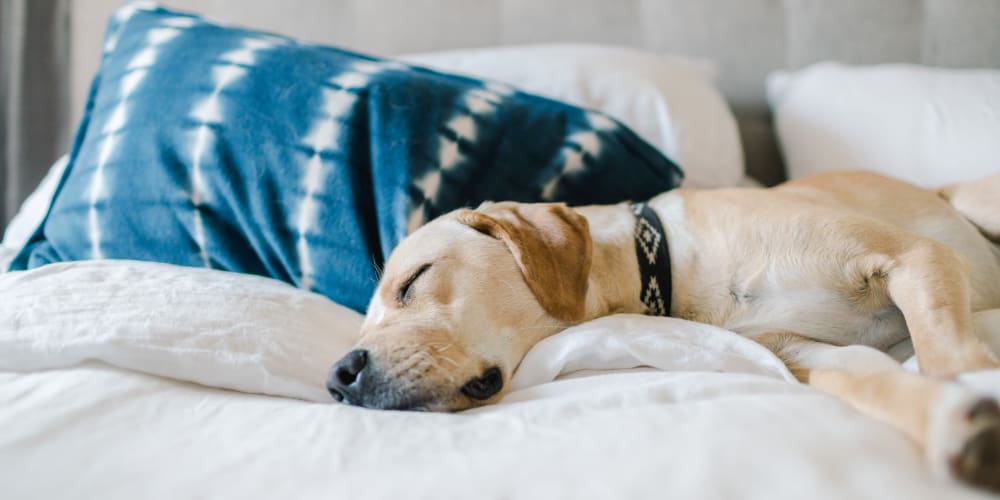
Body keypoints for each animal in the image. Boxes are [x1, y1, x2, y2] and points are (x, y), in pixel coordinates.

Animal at [330, 172, 1000, 492]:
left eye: (413, 281)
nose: (340, 376)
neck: (670, 263)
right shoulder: (812, 356)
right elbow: (881, 385)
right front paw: (952, 422)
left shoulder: (917, 257)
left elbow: (944, 352)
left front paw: (976, 385)